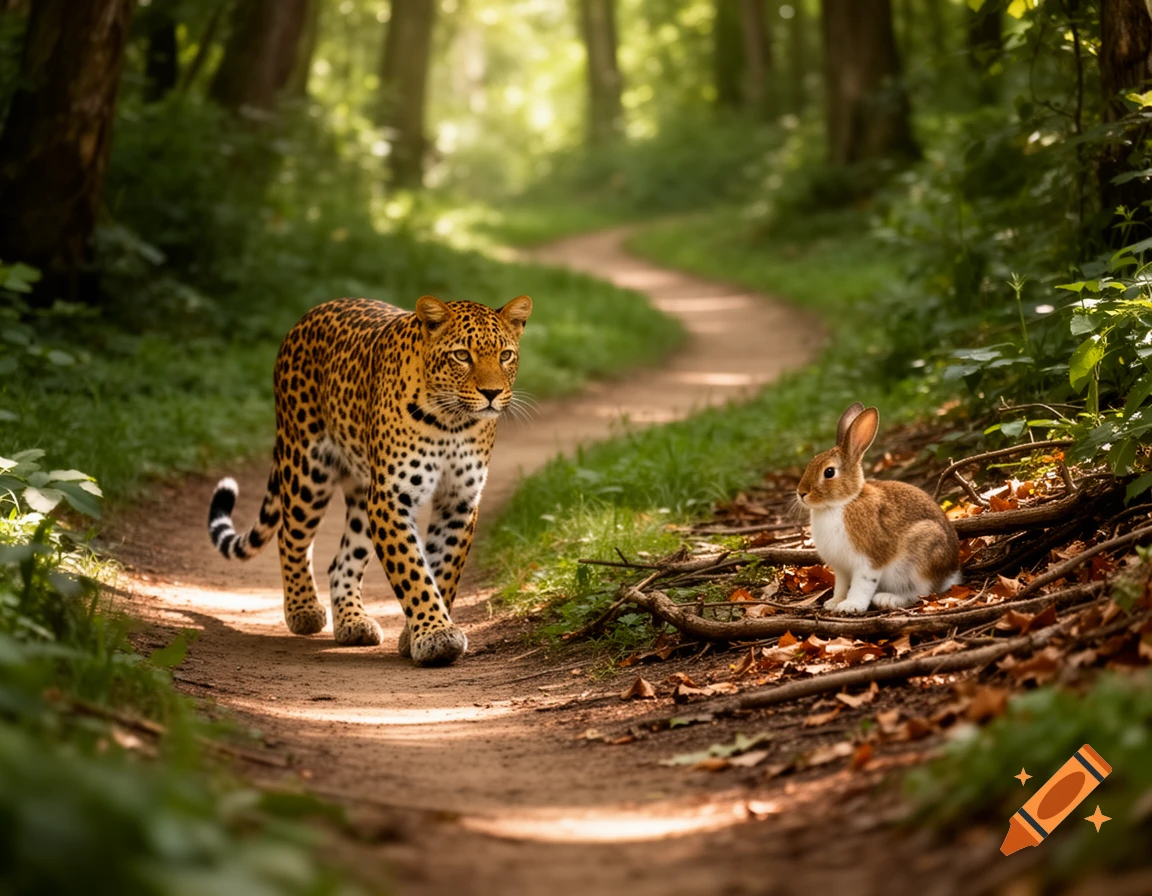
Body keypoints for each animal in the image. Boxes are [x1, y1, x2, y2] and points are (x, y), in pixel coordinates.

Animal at [207, 295, 532, 667]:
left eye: (505, 355)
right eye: (462, 355)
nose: (492, 392)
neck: (452, 422)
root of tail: (309, 314)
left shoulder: (459, 501)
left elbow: (443, 569)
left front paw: (417, 634)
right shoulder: (391, 497)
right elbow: (413, 571)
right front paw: (435, 634)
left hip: (362, 492)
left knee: (340, 563)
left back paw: (353, 622)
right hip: (307, 468)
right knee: (290, 537)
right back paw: (303, 610)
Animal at [796, 402, 961, 615]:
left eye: (829, 472)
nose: (801, 493)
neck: (843, 503)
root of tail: (951, 573)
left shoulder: (869, 561)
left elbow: (862, 585)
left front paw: (850, 606)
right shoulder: (841, 569)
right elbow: (840, 586)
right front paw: (834, 602)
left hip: (922, 554)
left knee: (921, 593)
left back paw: (887, 599)